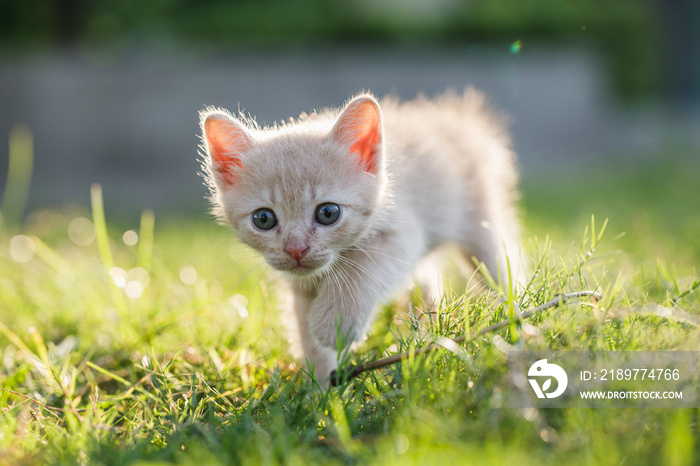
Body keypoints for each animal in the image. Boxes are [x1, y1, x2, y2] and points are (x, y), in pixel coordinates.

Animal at [200, 90, 524, 382]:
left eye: (328, 213)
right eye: (263, 219)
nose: (296, 249)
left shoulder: (401, 235)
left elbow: (359, 271)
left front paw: (335, 325)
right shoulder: (300, 288)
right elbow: (305, 332)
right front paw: (319, 390)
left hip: (482, 223)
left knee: (502, 265)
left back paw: (516, 316)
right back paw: (430, 324)